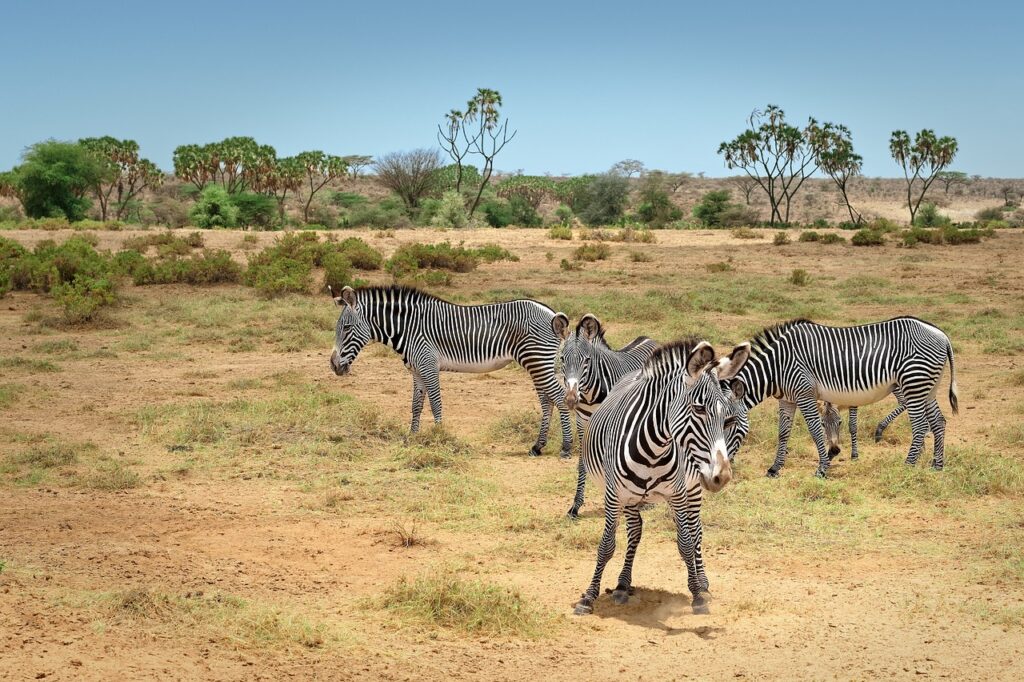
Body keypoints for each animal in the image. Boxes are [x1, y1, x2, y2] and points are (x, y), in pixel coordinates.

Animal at [333, 284, 581, 454]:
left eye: (346, 328)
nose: (333, 366)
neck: (409, 328)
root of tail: (552, 314)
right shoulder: (416, 370)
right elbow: (416, 405)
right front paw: (412, 437)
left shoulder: (428, 365)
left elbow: (435, 404)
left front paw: (439, 437)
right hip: (536, 363)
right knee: (547, 401)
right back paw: (538, 446)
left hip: (538, 361)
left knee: (559, 398)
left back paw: (566, 446)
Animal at [557, 313, 659, 516]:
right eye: (562, 359)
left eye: (587, 360)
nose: (571, 399)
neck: (590, 395)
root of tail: (648, 338)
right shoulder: (583, 421)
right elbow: (583, 462)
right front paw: (576, 505)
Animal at [573, 337, 749, 614]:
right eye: (698, 408)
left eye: (727, 419)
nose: (722, 476)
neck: (655, 449)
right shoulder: (613, 496)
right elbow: (606, 545)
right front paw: (589, 596)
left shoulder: (677, 493)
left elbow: (686, 543)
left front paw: (697, 595)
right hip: (632, 498)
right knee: (635, 531)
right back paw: (623, 584)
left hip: (692, 489)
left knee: (696, 530)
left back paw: (702, 582)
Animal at [733, 315, 954, 475]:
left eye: (729, 424)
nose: (728, 465)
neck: (777, 365)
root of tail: (942, 335)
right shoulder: (787, 400)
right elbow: (783, 433)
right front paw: (775, 468)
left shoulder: (805, 394)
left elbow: (815, 430)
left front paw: (822, 468)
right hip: (928, 388)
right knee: (938, 422)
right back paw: (936, 466)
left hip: (913, 383)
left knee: (920, 425)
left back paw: (907, 465)